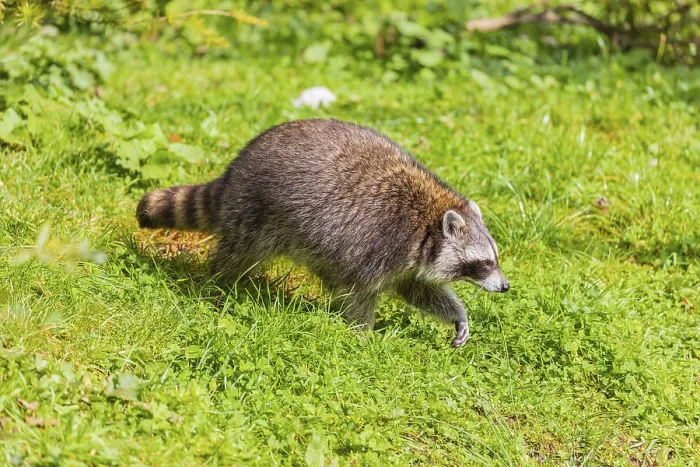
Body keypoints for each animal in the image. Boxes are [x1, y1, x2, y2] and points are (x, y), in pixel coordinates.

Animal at [136, 119, 509, 347]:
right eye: (483, 263)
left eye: (495, 258)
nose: (505, 286)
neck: (428, 223)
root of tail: (236, 168)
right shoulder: (379, 242)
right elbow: (358, 293)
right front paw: (362, 336)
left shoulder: (408, 259)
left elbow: (419, 289)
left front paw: (457, 315)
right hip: (254, 210)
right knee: (239, 254)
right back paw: (218, 282)